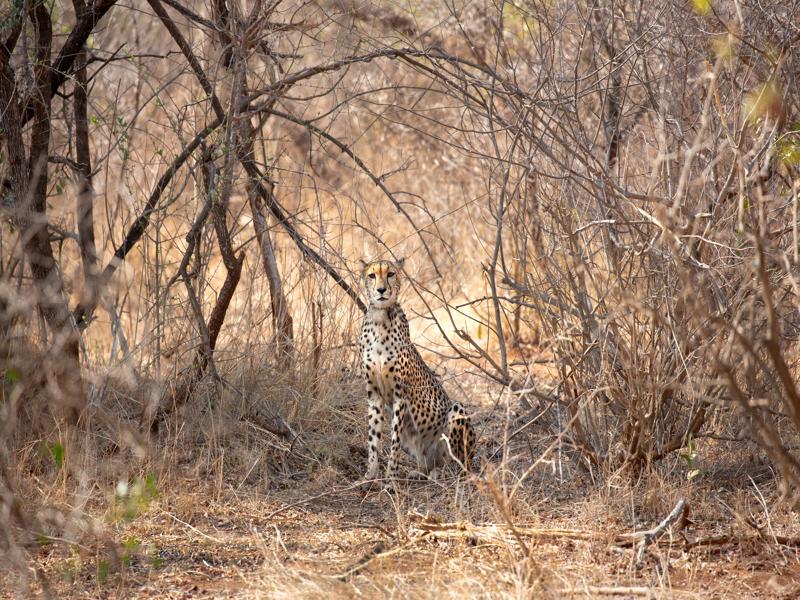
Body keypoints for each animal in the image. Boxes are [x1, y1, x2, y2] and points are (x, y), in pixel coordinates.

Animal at [357, 257, 476, 481]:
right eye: (372, 275)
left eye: (391, 274)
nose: (381, 290)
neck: (380, 318)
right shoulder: (374, 394)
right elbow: (372, 438)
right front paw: (370, 474)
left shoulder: (400, 396)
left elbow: (393, 442)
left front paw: (390, 478)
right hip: (417, 446)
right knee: (425, 466)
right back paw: (420, 472)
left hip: (457, 412)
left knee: (459, 463)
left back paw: (445, 472)